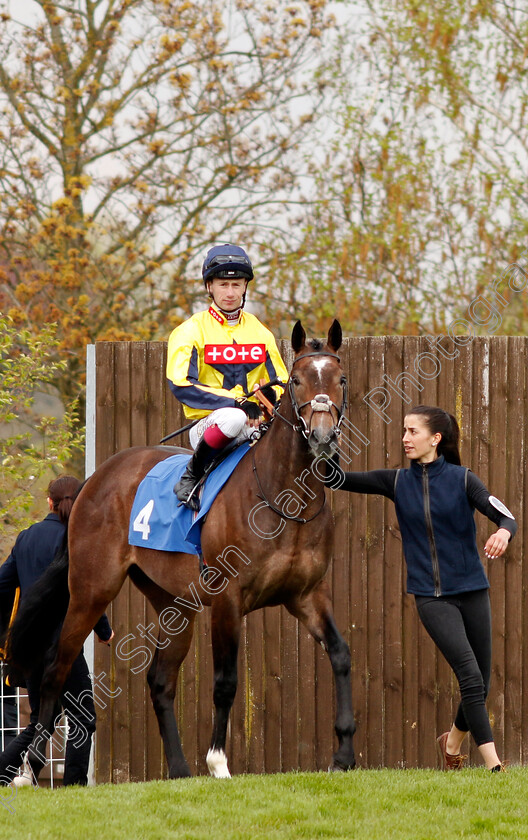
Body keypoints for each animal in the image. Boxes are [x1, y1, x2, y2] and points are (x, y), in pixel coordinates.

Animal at [6, 320, 354, 780]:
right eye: (296, 380)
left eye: (340, 378)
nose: (322, 436)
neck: (282, 498)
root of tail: (95, 479)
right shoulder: (227, 599)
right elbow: (225, 681)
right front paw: (219, 762)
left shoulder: (308, 595)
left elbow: (340, 654)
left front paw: (344, 752)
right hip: (91, 591)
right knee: (54, 670)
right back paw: (29, 769)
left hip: (175, 605)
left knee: (160, 681)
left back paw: (178, 768)